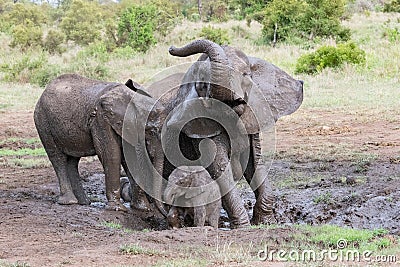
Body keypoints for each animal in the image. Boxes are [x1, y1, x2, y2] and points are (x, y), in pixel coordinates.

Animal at [33, 74, 167, 217]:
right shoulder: (101, 119)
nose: (165, 214)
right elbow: (111, 154)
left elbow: (131, 159)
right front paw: (118, 209)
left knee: (73, 161)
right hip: (43, 122)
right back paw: (69, 202)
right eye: (151, 131)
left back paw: (84, 202)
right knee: (58, 158)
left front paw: (142, 209)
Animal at [148, 39, 304, 228]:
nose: (171, 48)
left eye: (246, 75)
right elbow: (220, 168)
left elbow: (255, 163)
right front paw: (243, 227)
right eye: (202, 84)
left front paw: (267, 222)